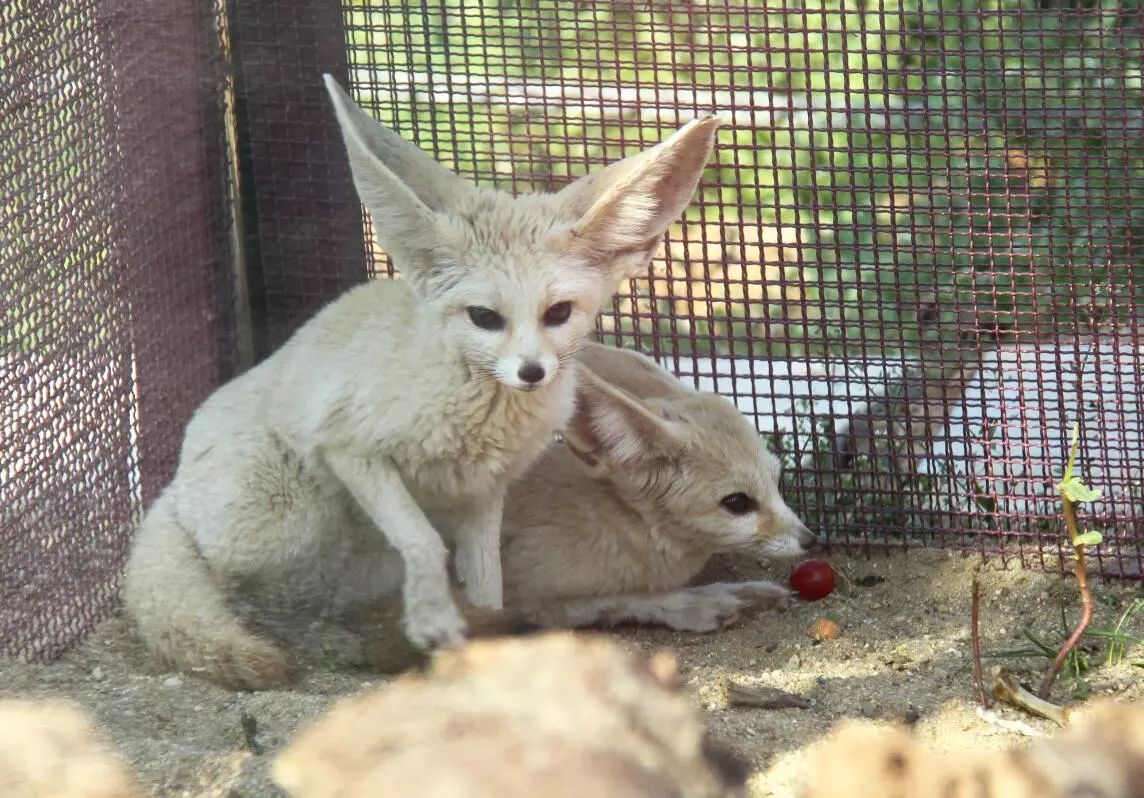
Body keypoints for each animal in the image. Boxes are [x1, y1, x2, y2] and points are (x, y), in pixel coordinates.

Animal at [120, 74, 718, 685]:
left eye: (558, 313)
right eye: (485, 317)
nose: (531, 372)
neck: (479, 415)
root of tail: (167, 493)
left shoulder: (486, 488)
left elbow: (489, 579)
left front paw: (486, 631)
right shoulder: (351, 449)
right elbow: (423, 541)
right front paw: (436, 621)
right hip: (295, 516)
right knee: (252, 593)